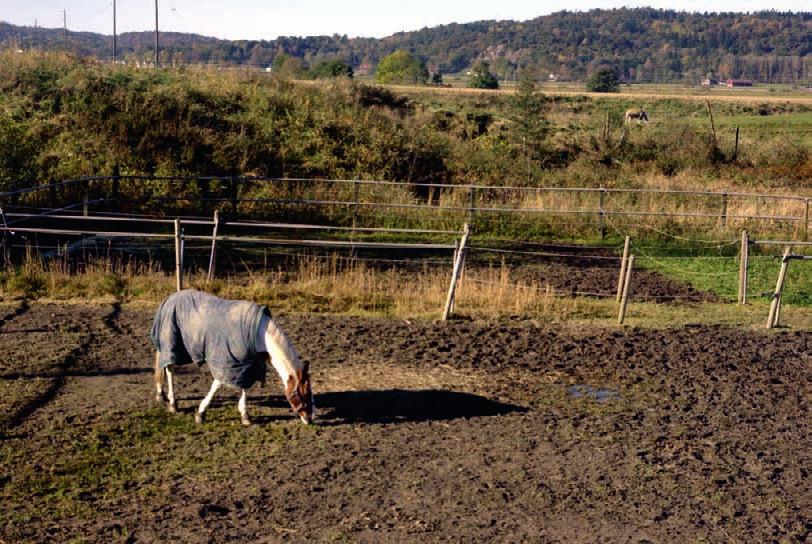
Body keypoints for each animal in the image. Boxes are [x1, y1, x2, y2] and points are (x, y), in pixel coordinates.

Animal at [151, 288, 316, 424]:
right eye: (303, 394)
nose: (309, 419)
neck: (259, 336)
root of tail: (170, 298)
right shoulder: (226, 362)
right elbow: (217, 385)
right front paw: (201, 413)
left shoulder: (246, 365)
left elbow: (244, 386)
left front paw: (245, 415)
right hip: (172, 345)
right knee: (169, 369)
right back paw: (172, 403)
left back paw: (161, 394)